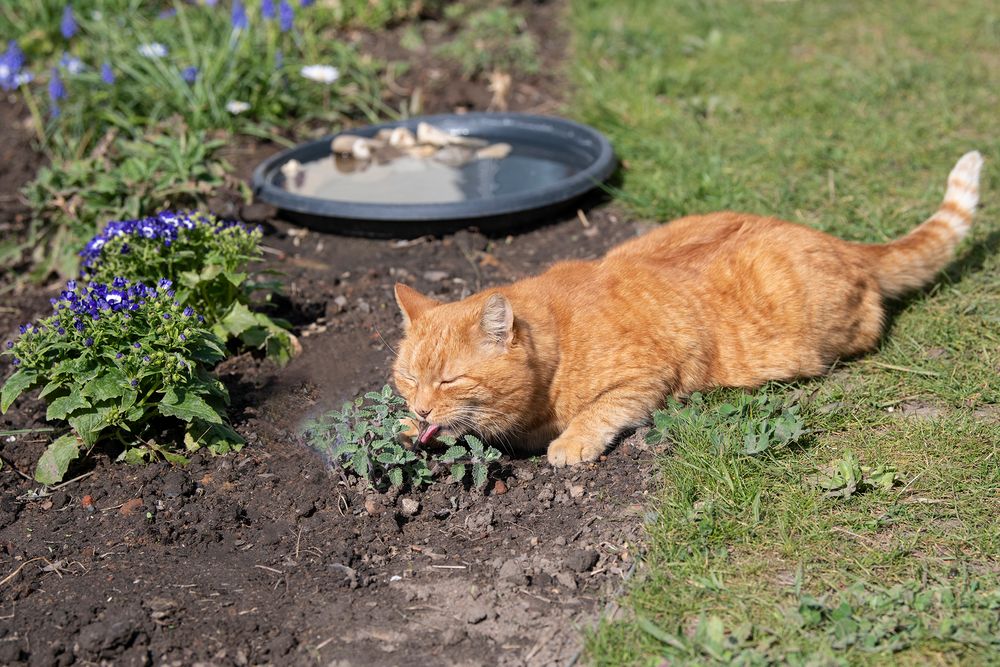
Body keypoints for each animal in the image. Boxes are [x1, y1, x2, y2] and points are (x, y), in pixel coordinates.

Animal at [390, 152, 984, 468]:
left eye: (449, 380)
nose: (419, 407)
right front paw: (404, 425)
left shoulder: (648, 375)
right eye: (408, 379)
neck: (555, 353)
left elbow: (599, 411)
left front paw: (571, 441)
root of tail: (842, 242)